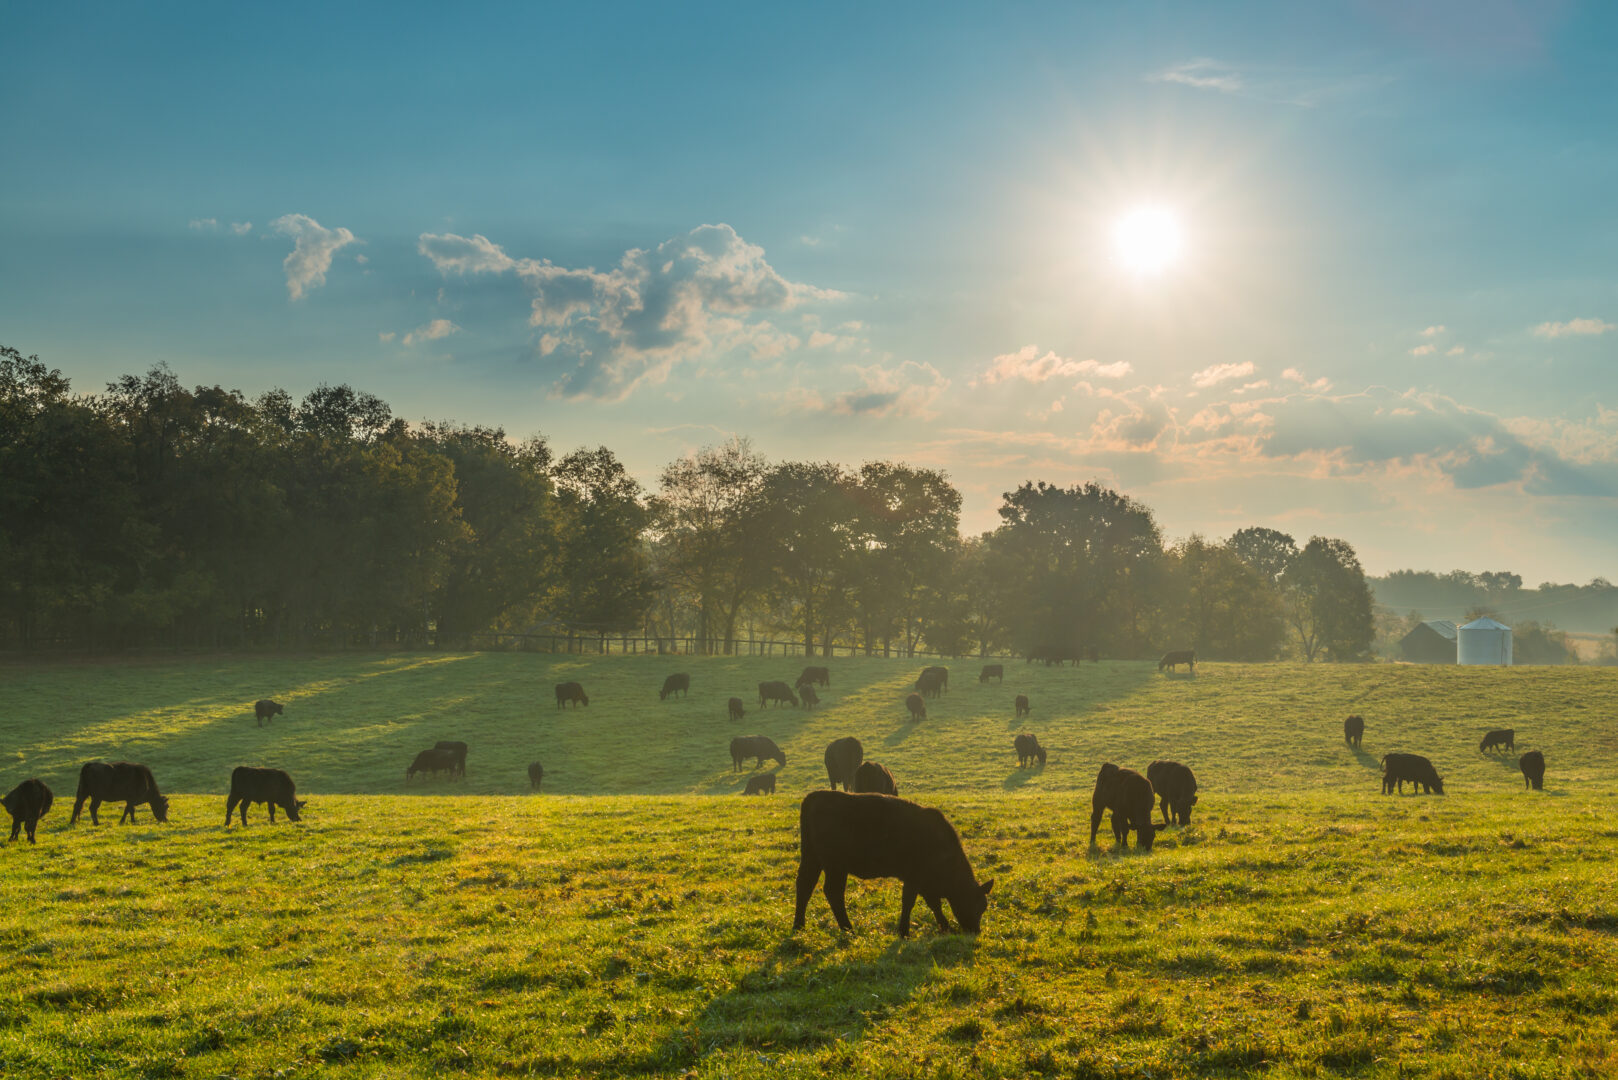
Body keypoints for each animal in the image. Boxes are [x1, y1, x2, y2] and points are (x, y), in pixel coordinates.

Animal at [793, 790, 994, 938]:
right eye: (974, 903)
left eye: (984, 906)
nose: (975, 931)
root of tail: (815, 796)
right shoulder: (914, 877)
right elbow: (909, 902)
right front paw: (904, 932)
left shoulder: (925, 882)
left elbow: (934, 904)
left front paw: (944, 927)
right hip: (835, 865)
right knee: (832, 892)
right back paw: (848, 929)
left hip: (812, 858)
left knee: (804, 886)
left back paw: (799, 926)